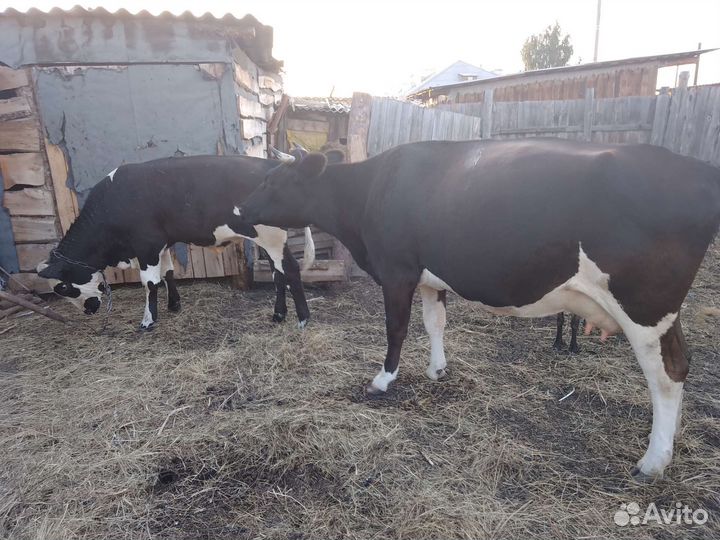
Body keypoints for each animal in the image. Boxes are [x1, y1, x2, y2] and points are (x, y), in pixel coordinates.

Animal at [37, 155, 315, 330]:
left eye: (63, 287)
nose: (89, 310)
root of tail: (272, 163)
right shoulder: (161, 243)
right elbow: (169, 273)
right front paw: (173, 305)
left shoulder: (146, 244)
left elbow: (149, 283)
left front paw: (148, 321)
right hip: (267, 241)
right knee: (278, 274)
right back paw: (279, 315)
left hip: (271, 236)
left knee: (290, 269)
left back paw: (303, 319)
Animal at [238, 138, 720, 481]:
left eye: (273, 182)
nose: (240, 209)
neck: (370, 190)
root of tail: (694, 168)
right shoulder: (429, 278)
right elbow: (434, 323)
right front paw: (437, 369)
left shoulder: (396, 271)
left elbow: (397, 327)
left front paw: (383, 379)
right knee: (681, 365)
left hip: (646, 305)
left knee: (667, 372)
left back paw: (652, 461)